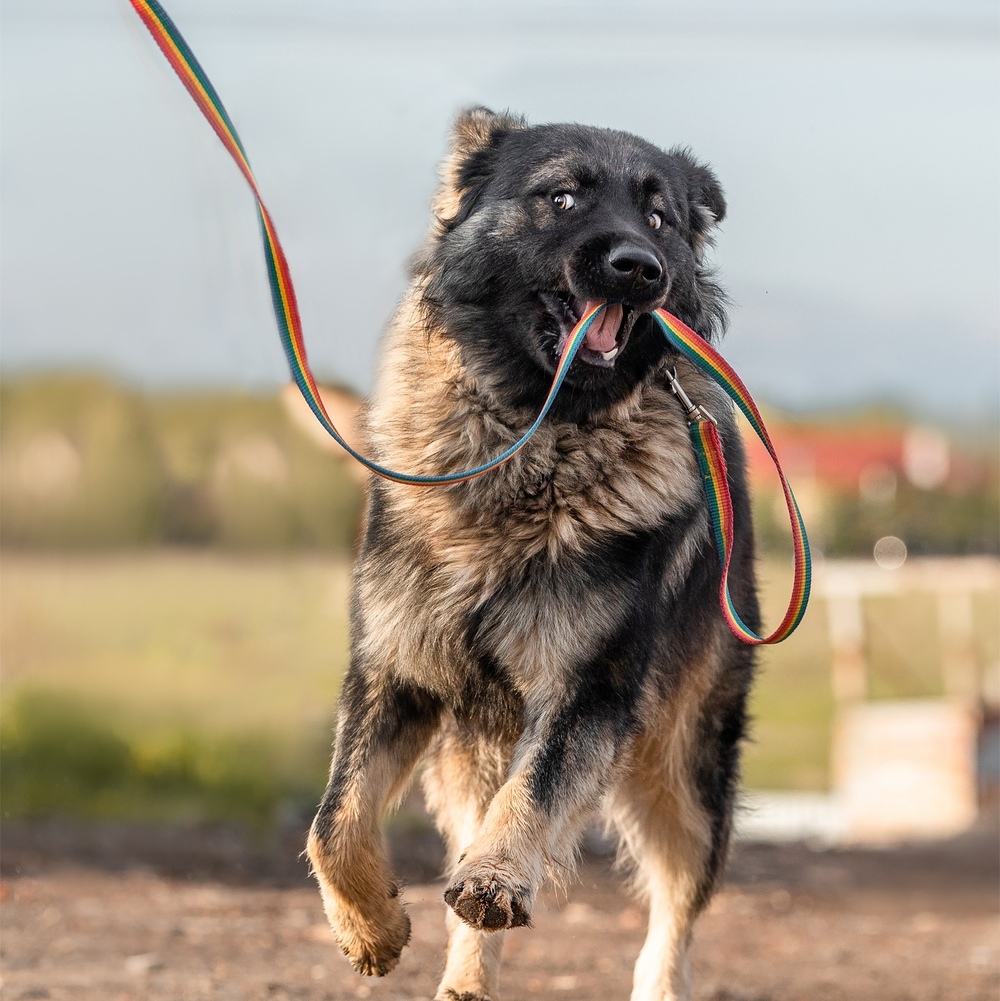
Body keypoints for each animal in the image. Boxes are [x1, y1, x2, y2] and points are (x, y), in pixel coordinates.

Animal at [304, 107, 756, 1001]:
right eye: (562, 196)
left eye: (660, 217)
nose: (639, 267)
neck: (533, 437)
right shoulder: (392, 669)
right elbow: (334, 818)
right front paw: (372, 925)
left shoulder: (587, 687)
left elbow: (535, 789)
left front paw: (497, 876)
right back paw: (464, 981)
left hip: (681, 762)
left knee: (675, 905)